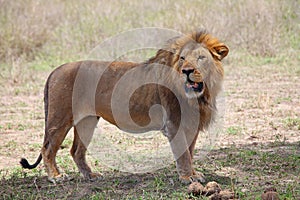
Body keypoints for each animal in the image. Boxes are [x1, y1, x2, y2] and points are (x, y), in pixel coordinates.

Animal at [20, 28, 227, 184]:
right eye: (182, 58)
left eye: (201, 58)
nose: (187, 71)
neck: (200, 96)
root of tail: (55, 70)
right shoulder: (174, 124)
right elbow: (183, 154)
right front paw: (186, 178)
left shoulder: (191, 125)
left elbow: (189, 152)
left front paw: (194, 175)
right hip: (59, 119)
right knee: (48, 149)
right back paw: (55, 176)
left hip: (87, 121)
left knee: (76, 151)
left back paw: (91, 175)